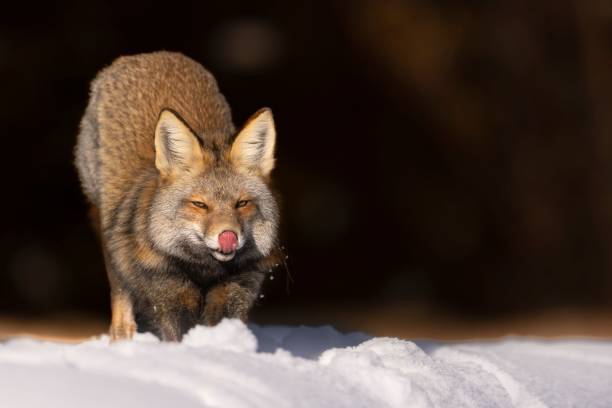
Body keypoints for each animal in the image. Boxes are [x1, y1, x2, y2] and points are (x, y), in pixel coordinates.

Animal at [74, 52, 282, 342]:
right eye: (200, 205)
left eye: (241, 204)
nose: (228, 236)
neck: (204, 273)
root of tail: (151, 55)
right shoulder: (167, 292)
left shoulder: (235, 290)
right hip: (109, 237)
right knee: (120, 297)